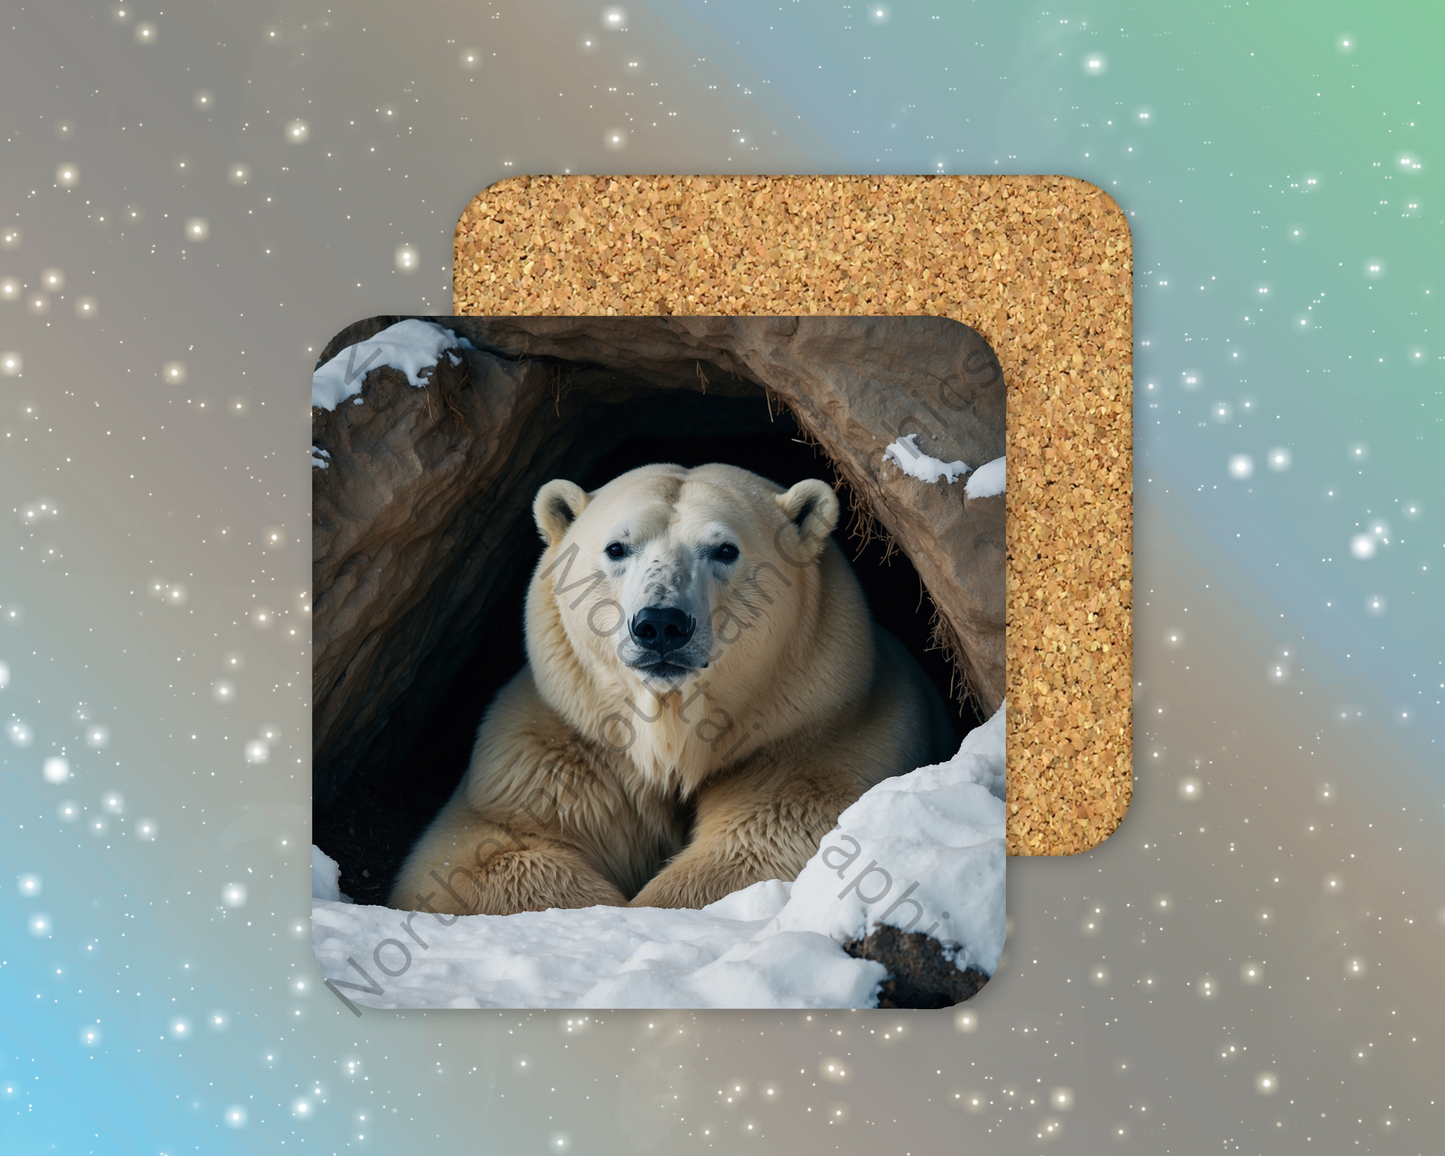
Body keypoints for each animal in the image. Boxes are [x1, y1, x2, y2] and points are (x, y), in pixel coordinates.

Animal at [389, 462, 957, 916]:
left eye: (725, 549)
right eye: (617, 547)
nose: (661, 624)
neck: (673, 731)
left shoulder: (815, 736)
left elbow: (769, 838)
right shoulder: (558, 750)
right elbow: (478, 856)